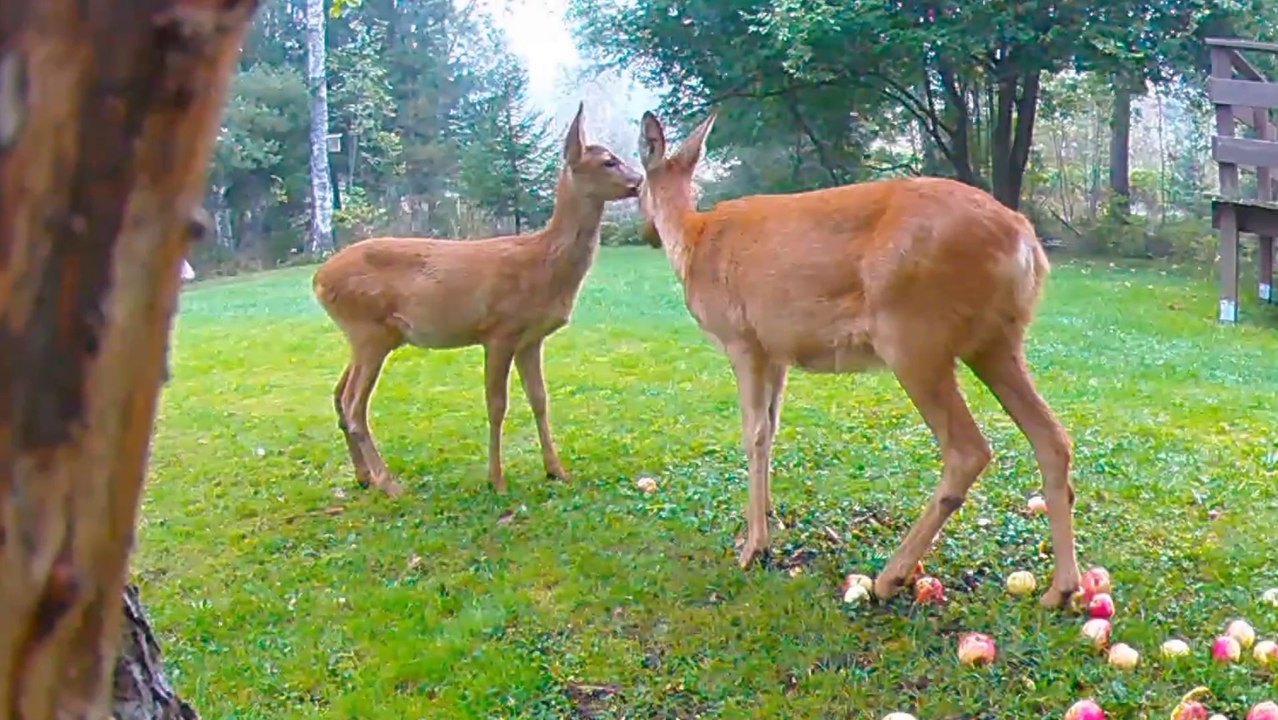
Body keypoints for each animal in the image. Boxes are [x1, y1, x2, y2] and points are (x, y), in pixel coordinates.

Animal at [312, 103, 643, 497]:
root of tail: (318, 280)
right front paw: (496, 480)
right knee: (352, 404)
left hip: (372, 336)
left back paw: (364, 477)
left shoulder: (530, 339)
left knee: (338, 394)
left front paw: (556, 471)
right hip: (369, 330)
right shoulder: (499, 331)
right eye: (609, 161)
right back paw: (390, 483)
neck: (543, 262)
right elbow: (496, 405)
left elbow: (540, 400)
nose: (639, 180)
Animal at [635, 109, 1081, 608]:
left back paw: (890, 577)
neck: (694, 242)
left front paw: (754, 547)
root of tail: (1027, 243)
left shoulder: (743, 339)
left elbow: (752, 435)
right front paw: (769, 515)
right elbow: (771, 429)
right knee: (1052, 439)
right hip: (996, 342)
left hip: (914, 334)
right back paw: (1062, 589)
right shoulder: (778, 351)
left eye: (637, 186)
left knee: (968, 450)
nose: (643, 231)